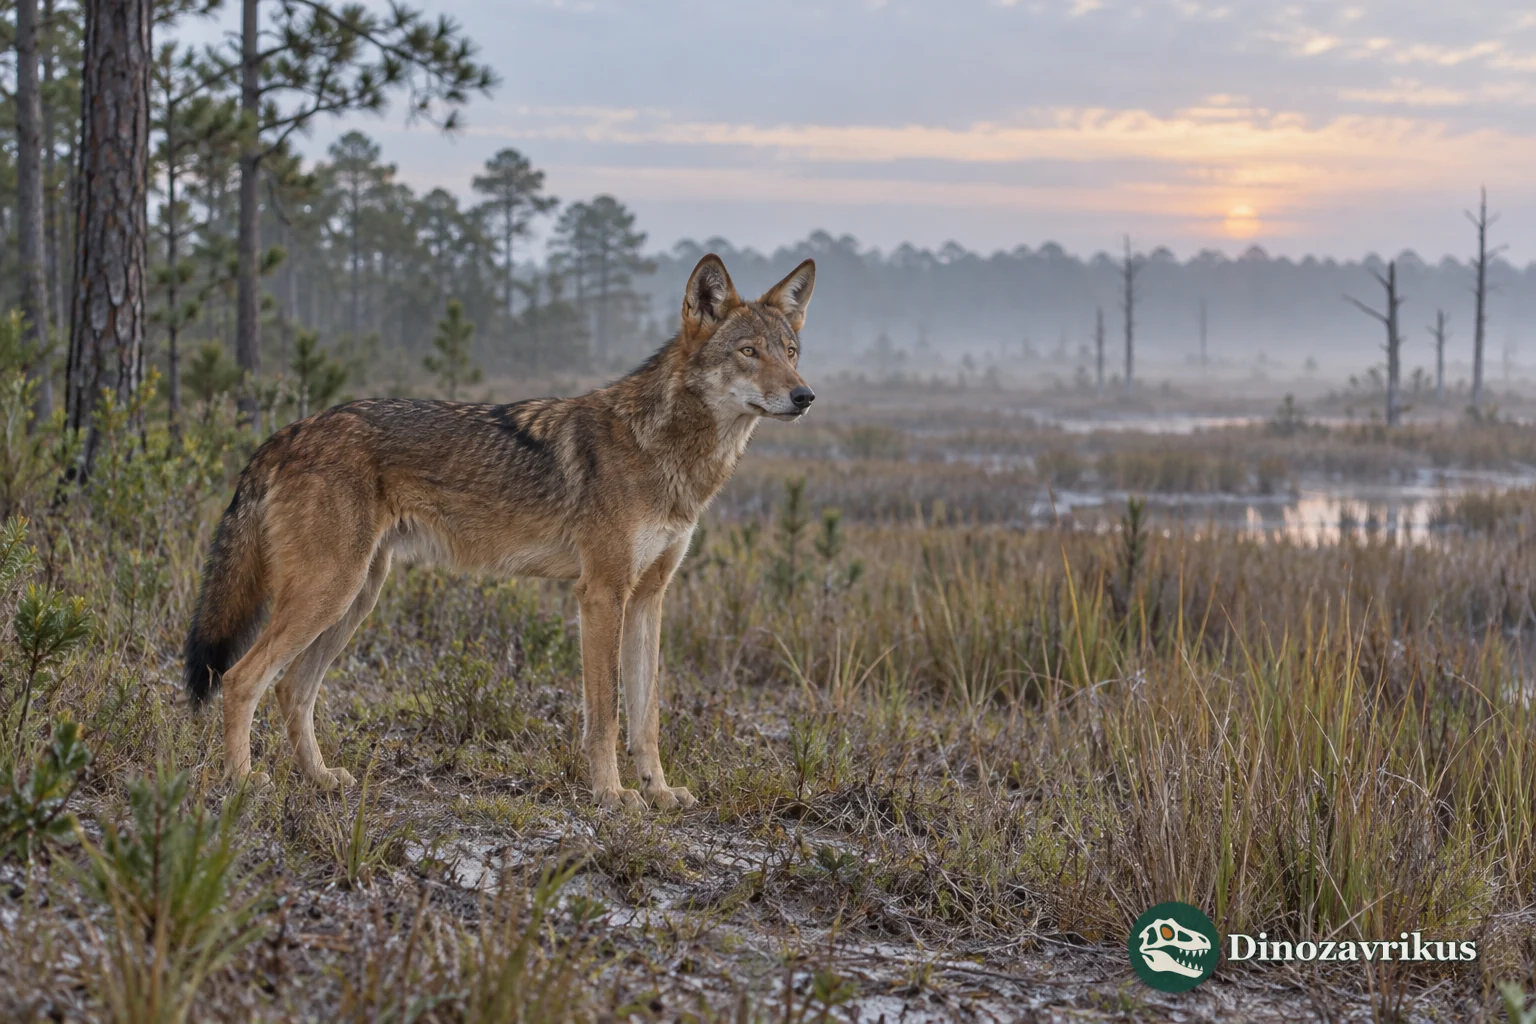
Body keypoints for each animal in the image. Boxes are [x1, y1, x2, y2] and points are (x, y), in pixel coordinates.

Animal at [183, 255, 815, 810]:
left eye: (790, 352)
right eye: (748, 352)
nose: (804, 396)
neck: (668, 453)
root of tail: (283, 434)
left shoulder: (648, 599)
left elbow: (647, 717)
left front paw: (659, 792)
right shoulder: (601, 596)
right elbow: (606, 715)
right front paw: (612, 795)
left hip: (355, 598)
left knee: (292, 688)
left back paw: (319, 778)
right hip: (329, 594)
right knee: (241, 680)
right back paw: (243, 783)